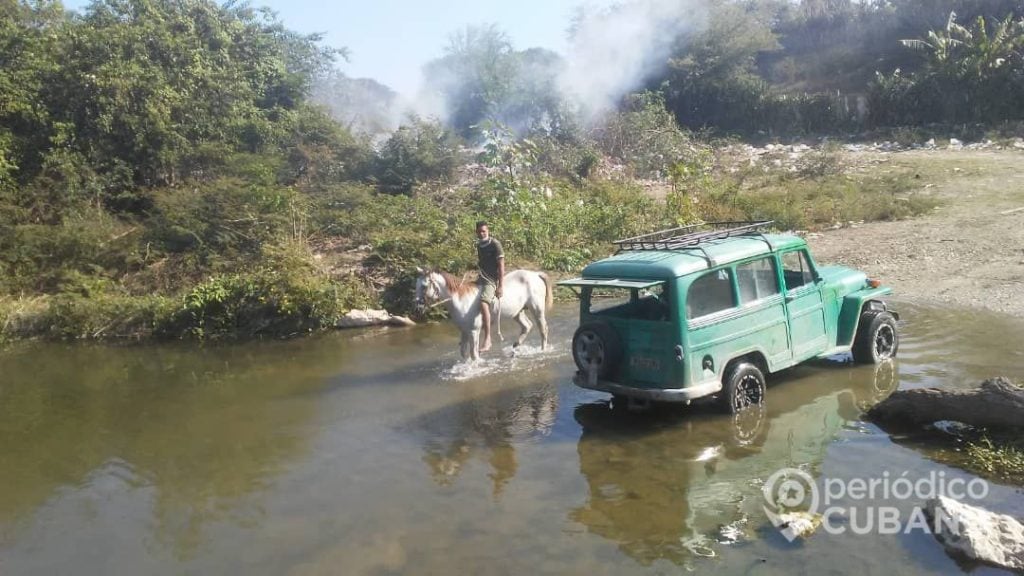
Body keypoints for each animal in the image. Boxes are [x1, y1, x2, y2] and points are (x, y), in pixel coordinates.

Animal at [415, 268, 552, 358]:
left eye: (424, 286)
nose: (417, 307)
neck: (460, 300)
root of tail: (536, 274)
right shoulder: (464, 331)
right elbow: (463, 352)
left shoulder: (473, 331)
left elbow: (473, 354)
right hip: (517, 312)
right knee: (527, 326)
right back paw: (515, 347)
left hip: (537, 309)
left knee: (543, 329)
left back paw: (542, 350)